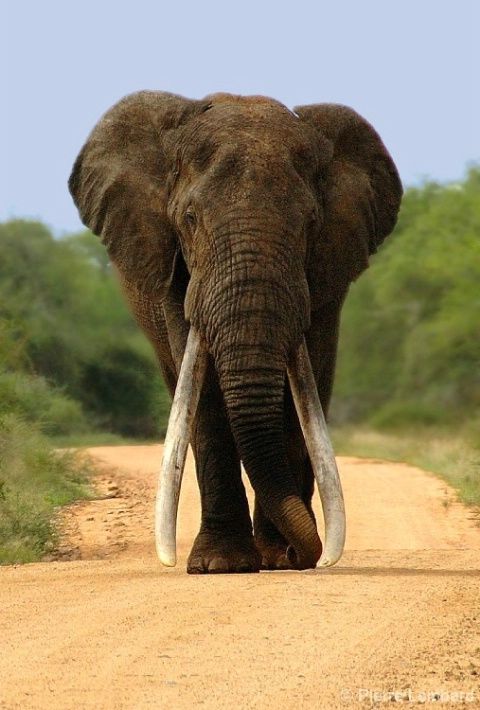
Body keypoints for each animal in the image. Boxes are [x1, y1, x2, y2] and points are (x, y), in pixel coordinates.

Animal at [69, 92, 402, 576]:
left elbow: (303, 391)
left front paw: (279, 558)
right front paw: (220, 564)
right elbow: (204, 394)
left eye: (311, 223)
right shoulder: (176, 270)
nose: (304, 555)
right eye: (189, 219)